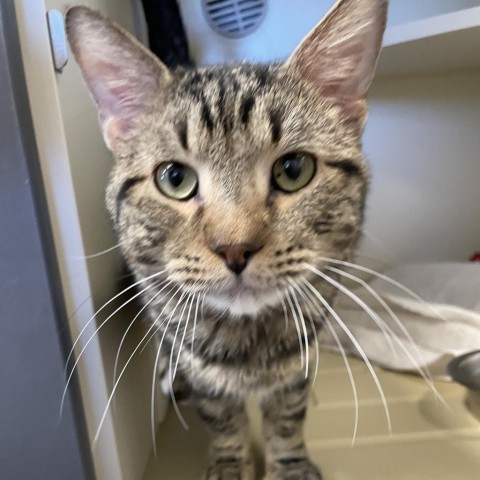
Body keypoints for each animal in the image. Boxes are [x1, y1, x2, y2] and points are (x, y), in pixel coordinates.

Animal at [66, 1, 390, 478]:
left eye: (294, 170)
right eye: (174, 178)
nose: (235, 248)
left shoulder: (301, 355)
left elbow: (288, 415)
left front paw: (289, 463)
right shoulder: (199, 366)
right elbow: (220, 416)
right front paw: (229, 462)